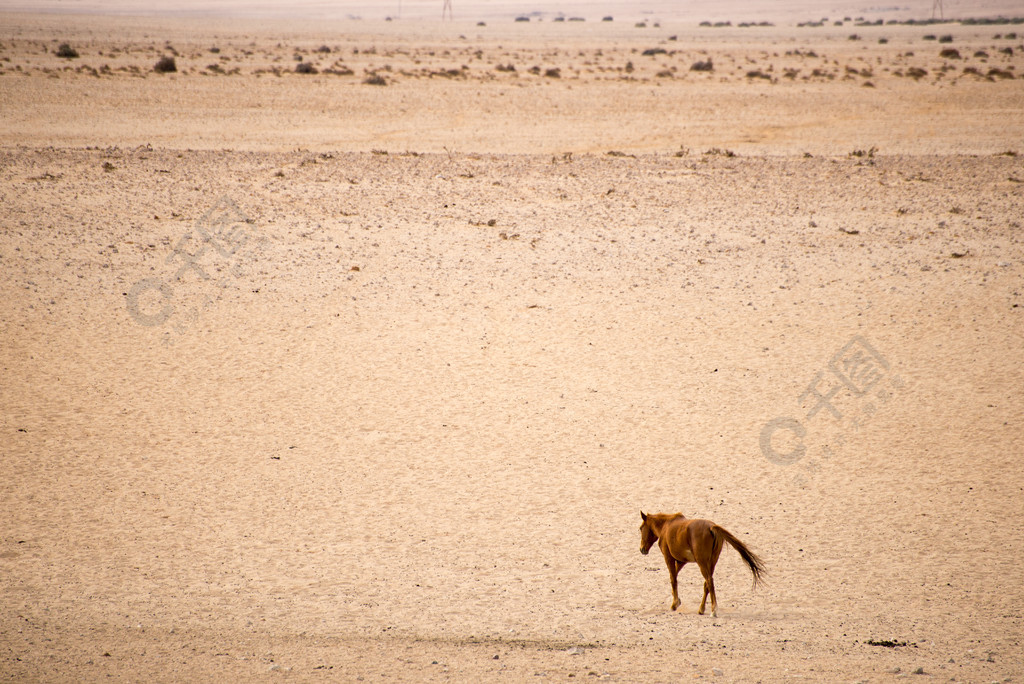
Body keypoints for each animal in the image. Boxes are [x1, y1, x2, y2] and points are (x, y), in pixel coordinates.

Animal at [634, 509, 765, 618]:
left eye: (641, 528)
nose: (642, 549)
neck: (666, 526)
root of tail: (711, 527)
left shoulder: (669, 558)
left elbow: (673, 579)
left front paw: (674, 604)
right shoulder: (682, 561)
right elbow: (675, 576)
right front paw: (676, 600)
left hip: (702, 563)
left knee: (709, 582)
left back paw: (713, 610)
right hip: (711, 562)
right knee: (707, 583)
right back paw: (701, 609)